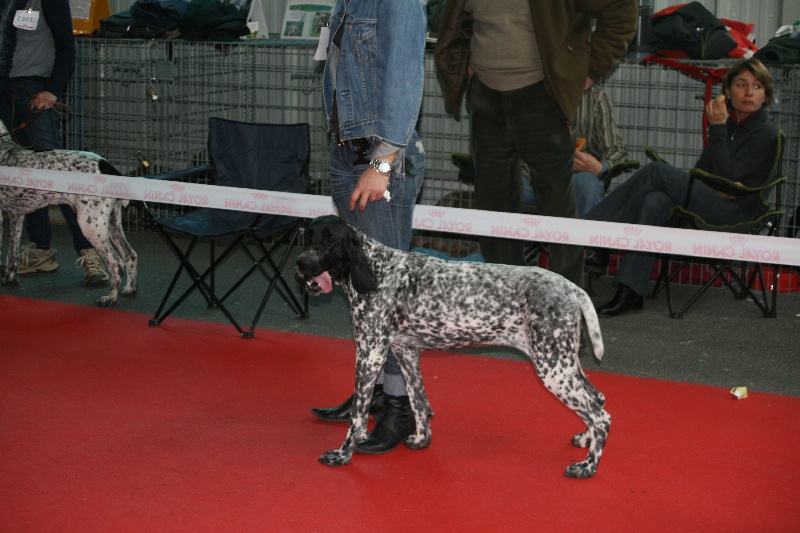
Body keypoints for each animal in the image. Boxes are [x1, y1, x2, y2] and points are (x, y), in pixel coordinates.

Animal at [0, 118, 138, 306]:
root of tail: (108, 167)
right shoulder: (17, 216)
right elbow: (11, 255)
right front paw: (10, 279)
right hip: (111, 223)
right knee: (130, 255)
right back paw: (129, 289)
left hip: (90, 225)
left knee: (116, 263)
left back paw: (110, 298)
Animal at [300, 215, 612, 478]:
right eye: (307, 236)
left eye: (330, 240)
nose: (301, 263)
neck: (377, 270)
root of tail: (571, 288)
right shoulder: (405, 352)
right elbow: (418, 401)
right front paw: (421, 439)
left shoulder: (370, 355)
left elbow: (357, 417)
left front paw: (342, 455)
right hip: (564, 363)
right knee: (597, 399)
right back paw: (585, 440)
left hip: (554, 368)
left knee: (601, 417)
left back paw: (587, 467)